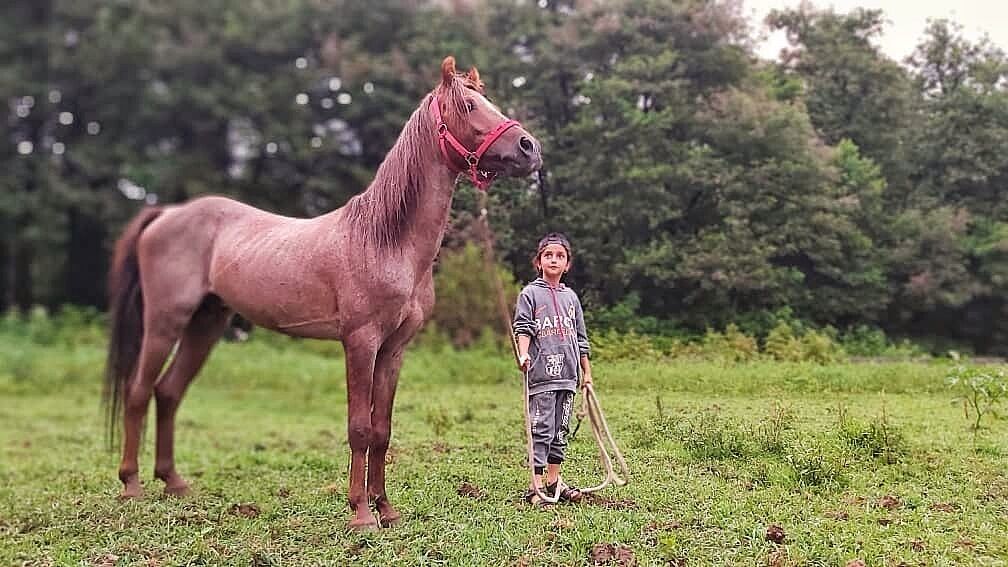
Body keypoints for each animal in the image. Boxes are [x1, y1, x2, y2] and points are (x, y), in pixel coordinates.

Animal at [103, 56, 542, 531]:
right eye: (468, 105)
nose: (529, 148)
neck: (387, 242)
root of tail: (167, 214)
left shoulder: (395, 348)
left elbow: (382, 429)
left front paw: (387, 509)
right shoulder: (360, 342)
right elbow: (359, 428)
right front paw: (361, 514)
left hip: (207, 323)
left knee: (168, 392)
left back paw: (174, 483)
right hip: (166, 321)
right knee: (138, 392)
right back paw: (131, 485)